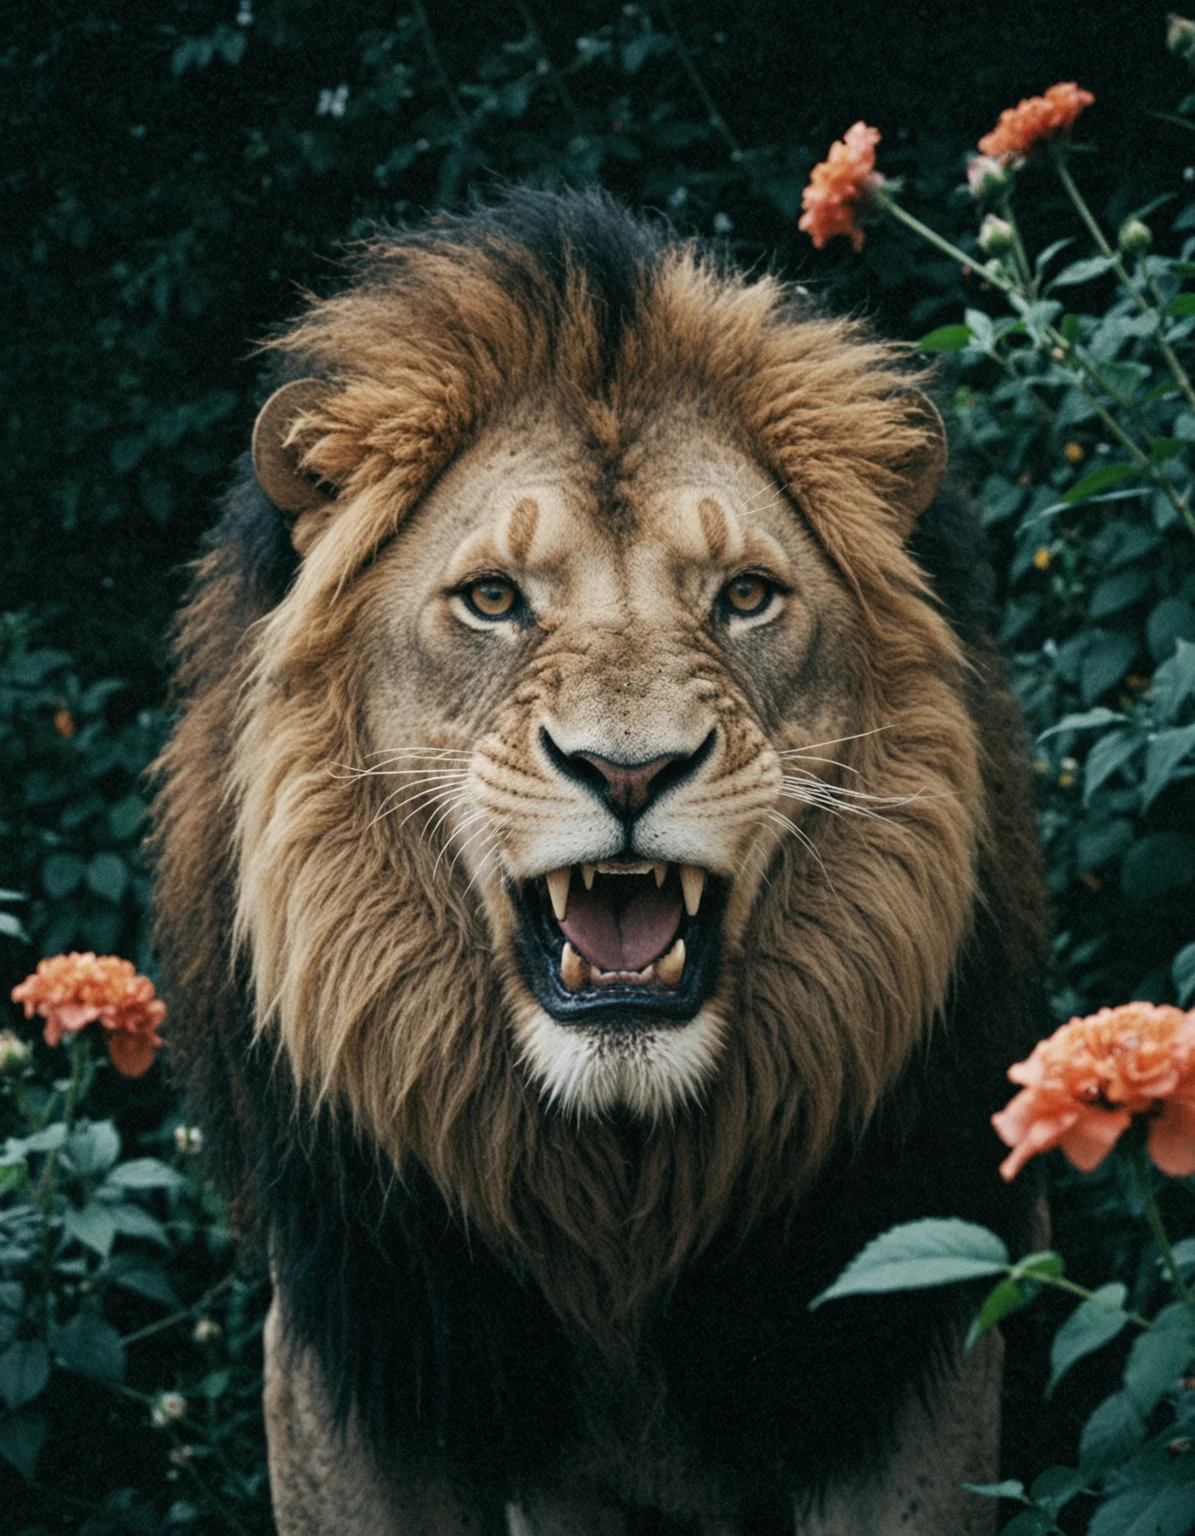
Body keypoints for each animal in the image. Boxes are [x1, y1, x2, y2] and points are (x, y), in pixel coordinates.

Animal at [154, 189, 1048, 1535]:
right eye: (491, 599)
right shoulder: (359, 1341)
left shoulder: (907, 1342)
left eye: (744, 595)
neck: (621, 1194)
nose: (629, 773)